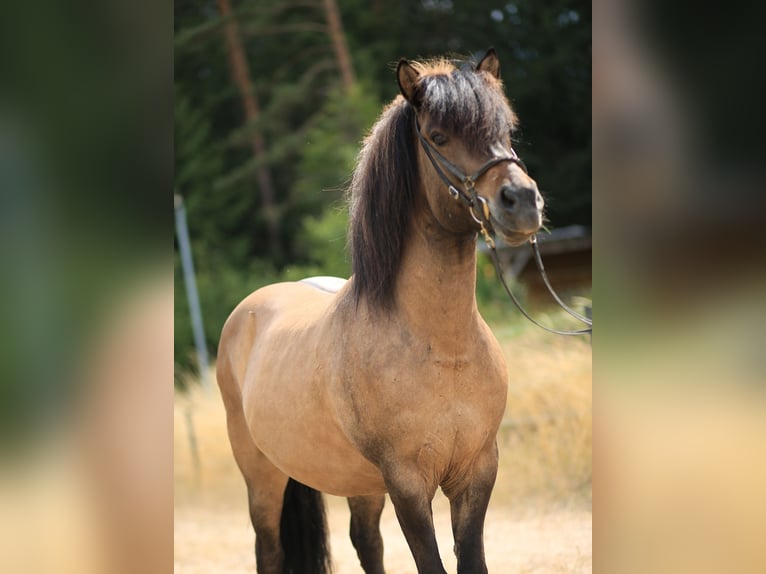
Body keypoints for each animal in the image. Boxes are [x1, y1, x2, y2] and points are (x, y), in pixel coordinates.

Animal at [218, 49, 544, 574]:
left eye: (506, 130)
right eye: (438, 135)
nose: (522, 203)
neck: (441, 348)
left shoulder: (477, 474)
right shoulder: (407, 484)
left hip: (359, 483)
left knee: (366, 541)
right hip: (263, 475)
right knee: (269, 550)